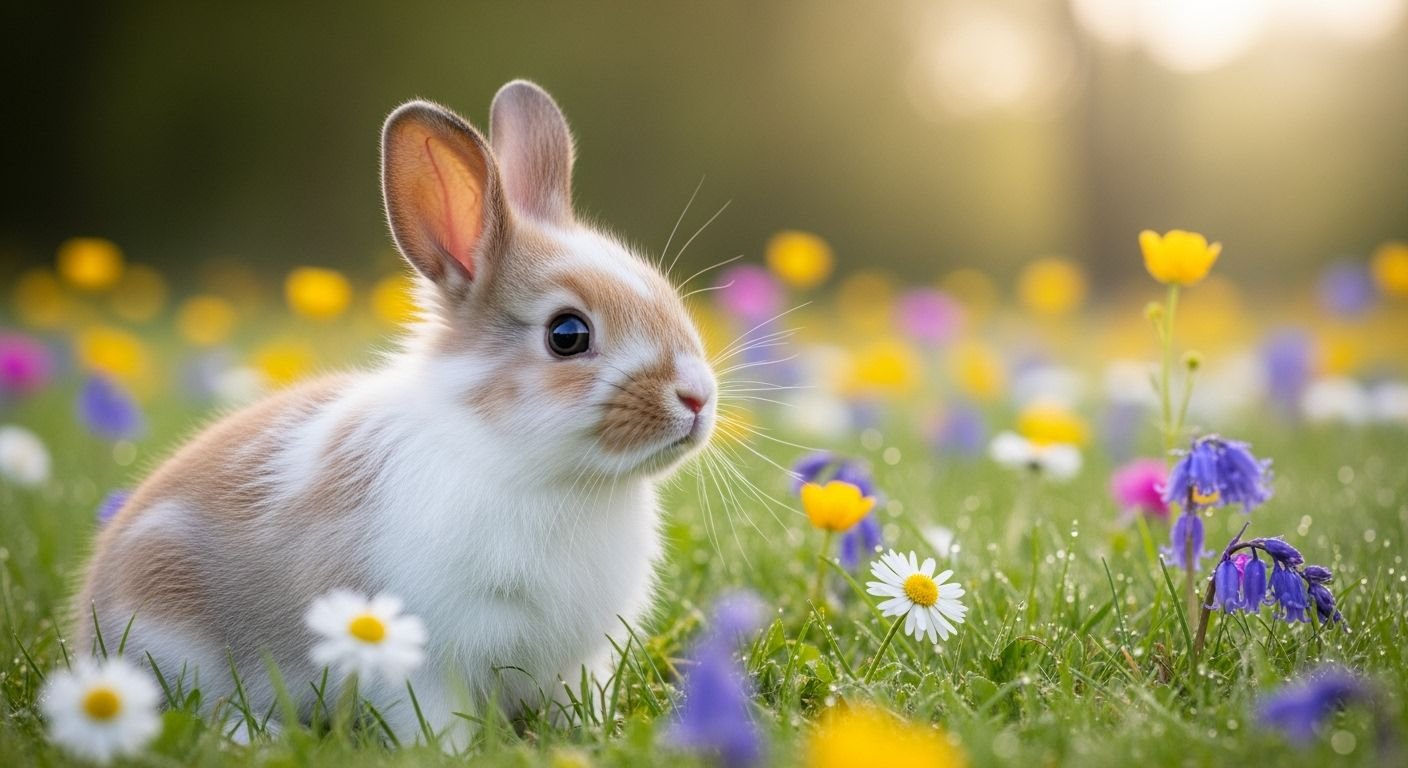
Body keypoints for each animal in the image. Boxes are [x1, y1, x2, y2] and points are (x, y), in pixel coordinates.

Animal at [73, 80, 717, 747]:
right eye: (567, 334)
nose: (696, 397)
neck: (530, 466)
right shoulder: (421, 656)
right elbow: (431, 716)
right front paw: (453, 753)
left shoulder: (578, 660)